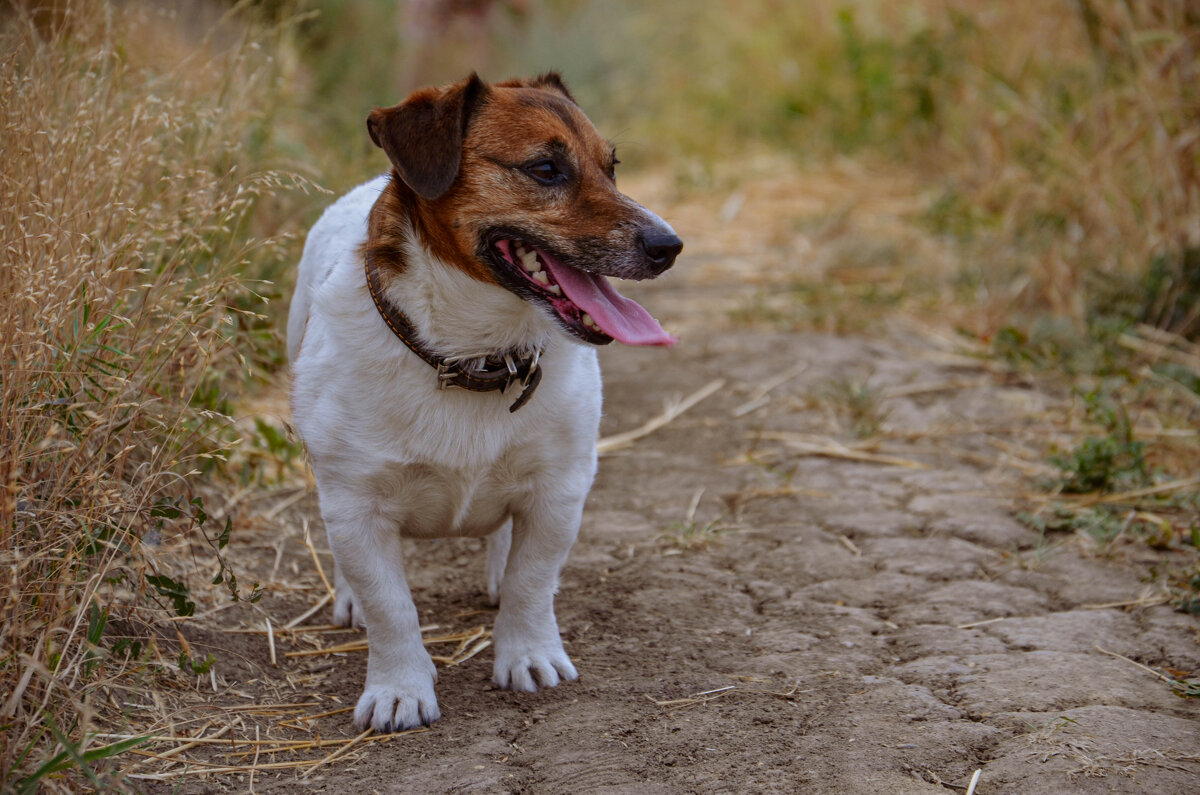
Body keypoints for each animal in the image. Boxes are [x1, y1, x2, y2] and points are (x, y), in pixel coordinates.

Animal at [288, 74, 686, 734]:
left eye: (612, 168)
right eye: (546, 168)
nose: (670, 245)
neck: (472, 357)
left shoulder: (559, 490)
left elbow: (531, 581)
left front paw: (528, 654)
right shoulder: (356, 506)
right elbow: (391, 608)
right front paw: (399, 688)